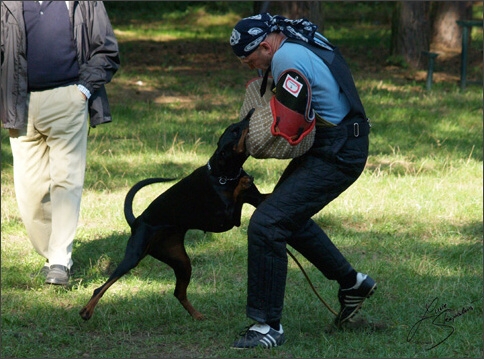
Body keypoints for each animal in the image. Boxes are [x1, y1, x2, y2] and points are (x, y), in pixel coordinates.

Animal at [80, 109, 268, 320]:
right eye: (235, 131)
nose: (251, 113)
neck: (225, 175)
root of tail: (136, 221)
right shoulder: (226, 217)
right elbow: (236, 194)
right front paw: (243, 182)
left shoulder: (257, 200)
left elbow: (263, 196)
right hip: (134, 256)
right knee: (101, 288)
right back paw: (86, 310)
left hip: (181, 261)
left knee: (179, 292)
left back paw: (197, 315)